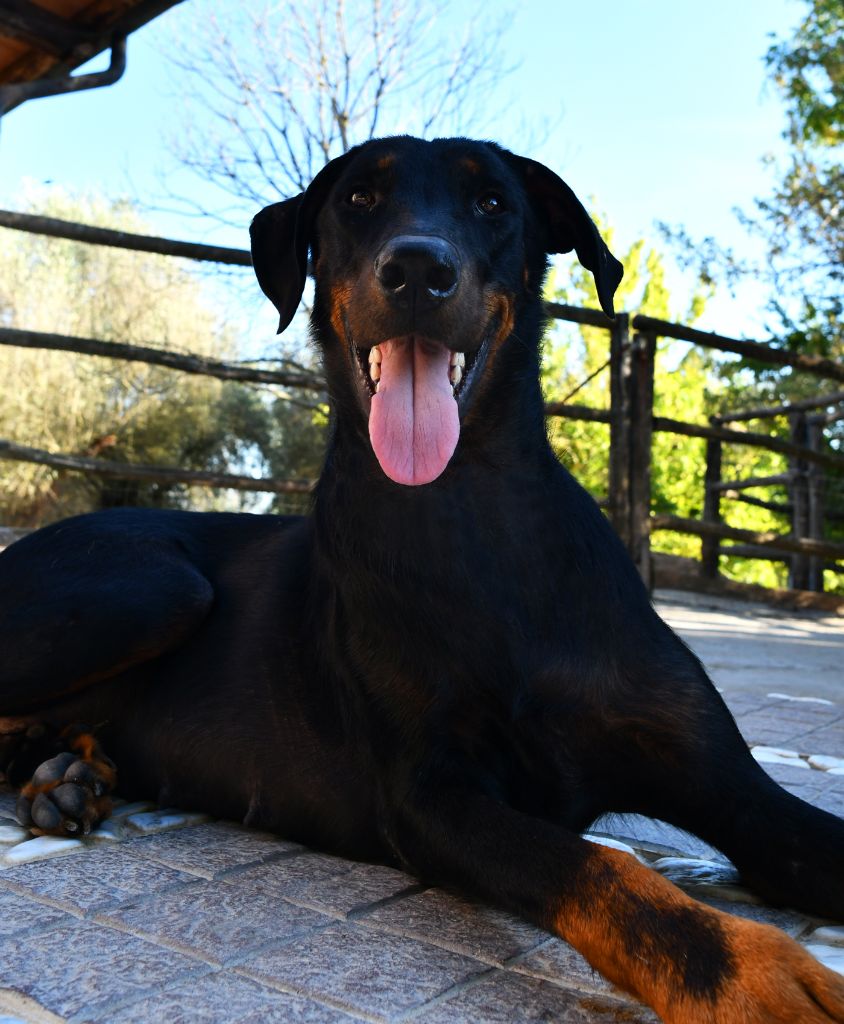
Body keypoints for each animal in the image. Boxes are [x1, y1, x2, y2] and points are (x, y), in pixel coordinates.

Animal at [1, 136, 843, 1024]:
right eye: (358, 200)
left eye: (494, 204)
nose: (415, 270)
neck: (471, 517)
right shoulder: (430, 794)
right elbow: (595, 863)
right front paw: (743, 969)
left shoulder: (724, 781)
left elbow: (796, 833)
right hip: (151, 588)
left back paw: (63, 772)